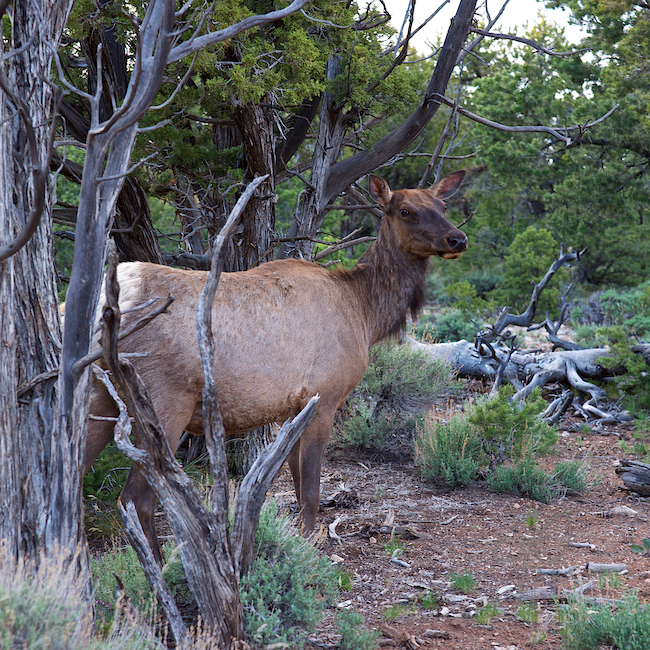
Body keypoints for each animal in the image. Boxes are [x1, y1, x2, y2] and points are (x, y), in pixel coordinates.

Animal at [83, 170, 466, 560]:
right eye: (405, 210)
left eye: (442, 205)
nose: (458, 238)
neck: (365, 313)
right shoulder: (325, 396)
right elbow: (311, 489)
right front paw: (310, 549)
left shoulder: (292, 408)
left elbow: (296, 483)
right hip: (164, 400)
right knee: (135, 498)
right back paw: (161, 567)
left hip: (101, 396)